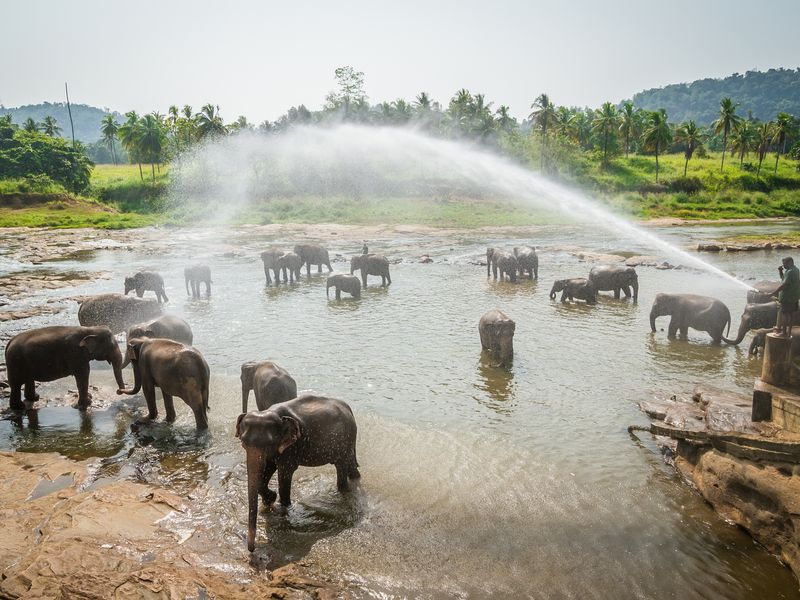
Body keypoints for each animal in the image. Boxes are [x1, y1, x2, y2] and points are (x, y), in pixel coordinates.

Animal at [235, 394, 360, 552]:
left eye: (269, 443)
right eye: (243, 443)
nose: (252, 550)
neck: (272, 412)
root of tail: (349, 409)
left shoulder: (292, 446)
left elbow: (284, 473)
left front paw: (282, 505)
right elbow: (268, 469)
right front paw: (270, 500)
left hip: (344, 440)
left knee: (343, 466)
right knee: (349, 466)